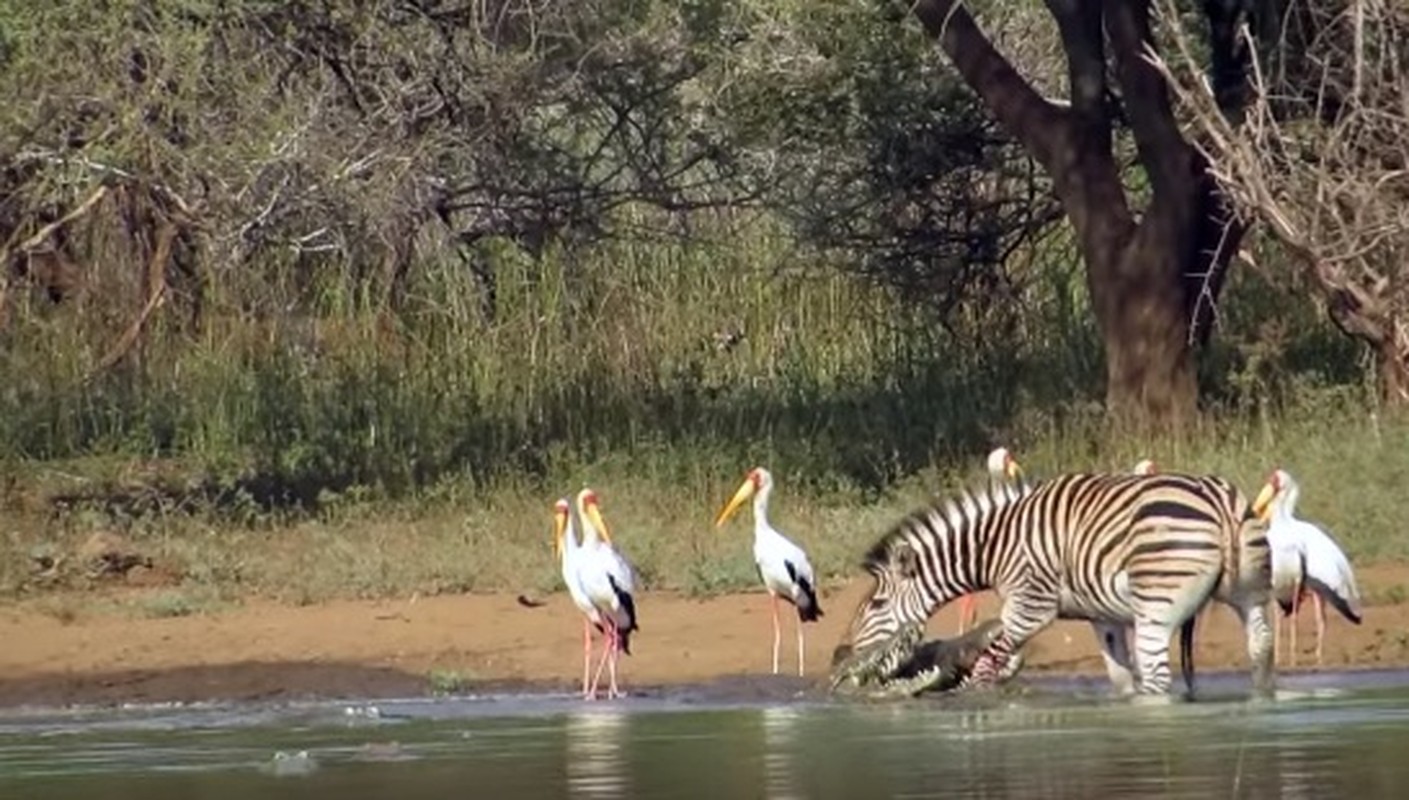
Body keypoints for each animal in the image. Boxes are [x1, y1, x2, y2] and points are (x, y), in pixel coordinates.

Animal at [828, 467, 1285, 698]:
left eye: (877, 605)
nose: (840, 657)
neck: (996, 544)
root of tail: (1219, 504)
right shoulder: (1103, 615)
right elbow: (1121, 678)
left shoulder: (1029, 607)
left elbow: (986, 667)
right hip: (1250, 594)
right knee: (1261, 651)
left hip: (1157, 607)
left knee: (1157, 675)